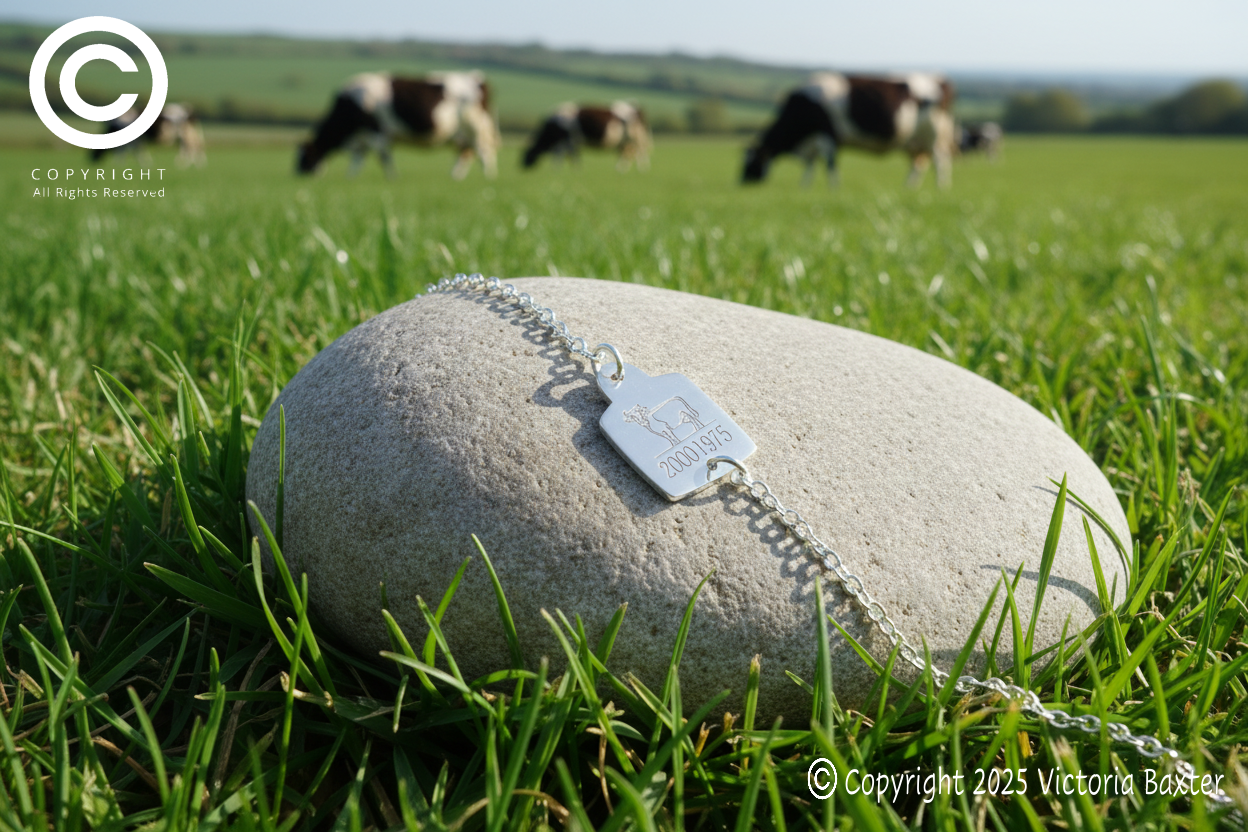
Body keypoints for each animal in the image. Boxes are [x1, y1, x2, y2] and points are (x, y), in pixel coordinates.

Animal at [296, 72, 498, 179]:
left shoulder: (376, 133)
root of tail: (477, 78)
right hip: (462, 134)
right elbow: (358, 159)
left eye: (305, 156)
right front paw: (350, 178)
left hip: (474, 128)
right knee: (466, 153)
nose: (297, 173)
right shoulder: (362, 138)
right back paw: (455, 177)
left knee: (483, 152)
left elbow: (384, 157)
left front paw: (392, 177)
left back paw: (487, 177)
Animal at [522, 101, 651, 171]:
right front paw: (576, 169)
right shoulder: (573, 142)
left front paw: (557, 169)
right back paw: (623, 169)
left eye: (526, 155)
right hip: (625, 140)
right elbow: (574, 156)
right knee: (628, 153)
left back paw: (637, 169)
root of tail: (636, 107)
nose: (521, 167)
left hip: (635, 138)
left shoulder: (566, 141)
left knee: (637, 153)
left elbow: (561, 156)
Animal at [742, 72, 956, 188]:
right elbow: (811, 165)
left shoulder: (828, 135)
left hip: (934, 134)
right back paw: (909, 188)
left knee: (940, 160)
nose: (741, 181)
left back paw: (940, 187)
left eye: (751, 162)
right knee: (918, 164)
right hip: (916, 141)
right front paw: (804, 186)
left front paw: (834, 188)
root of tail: (940, 79)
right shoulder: (813, 142)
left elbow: (830, 164)